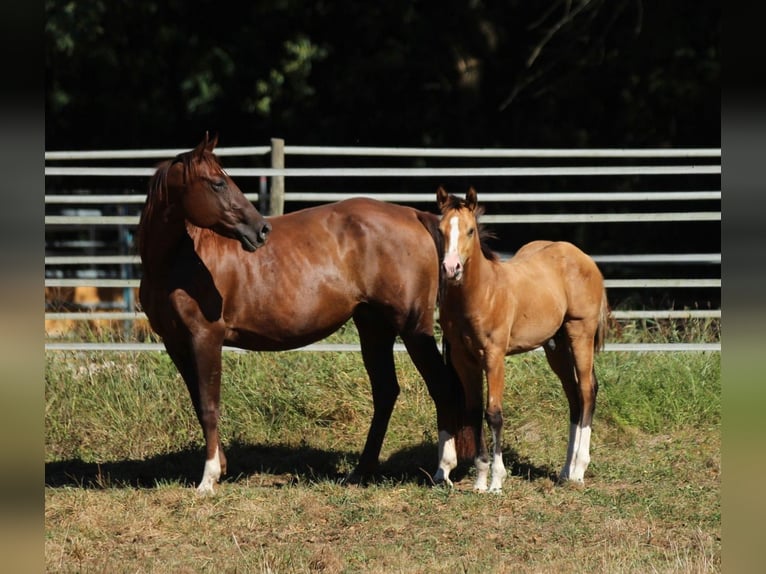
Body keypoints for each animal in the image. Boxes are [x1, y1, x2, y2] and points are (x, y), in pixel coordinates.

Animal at [137, 134, 471, 494]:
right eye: (217, 183)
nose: (260, 230)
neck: (178, 261)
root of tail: (414, 215)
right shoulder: (176, 343)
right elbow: (199, 404)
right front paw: (220, 467)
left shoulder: (205, 338)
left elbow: (210, 406)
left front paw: (208, 478)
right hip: (373, 327)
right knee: (385, 392)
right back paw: (360, 472)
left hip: (413, 328)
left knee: (441, 387)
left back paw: (442, 471)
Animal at [434, 186, 608, 492]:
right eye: (441, 229)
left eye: (470, 231)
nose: (451, 268)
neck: (482, 293)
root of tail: (584, 258)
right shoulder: (463, 358)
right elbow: (473, 411)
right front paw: (480, 480)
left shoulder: (494, 356)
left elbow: (494, 414)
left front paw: (496, 481)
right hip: (556, 346)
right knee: (574, 395)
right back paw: (564, 472)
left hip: (580, 332)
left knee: (587, 390)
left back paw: (578, 470)